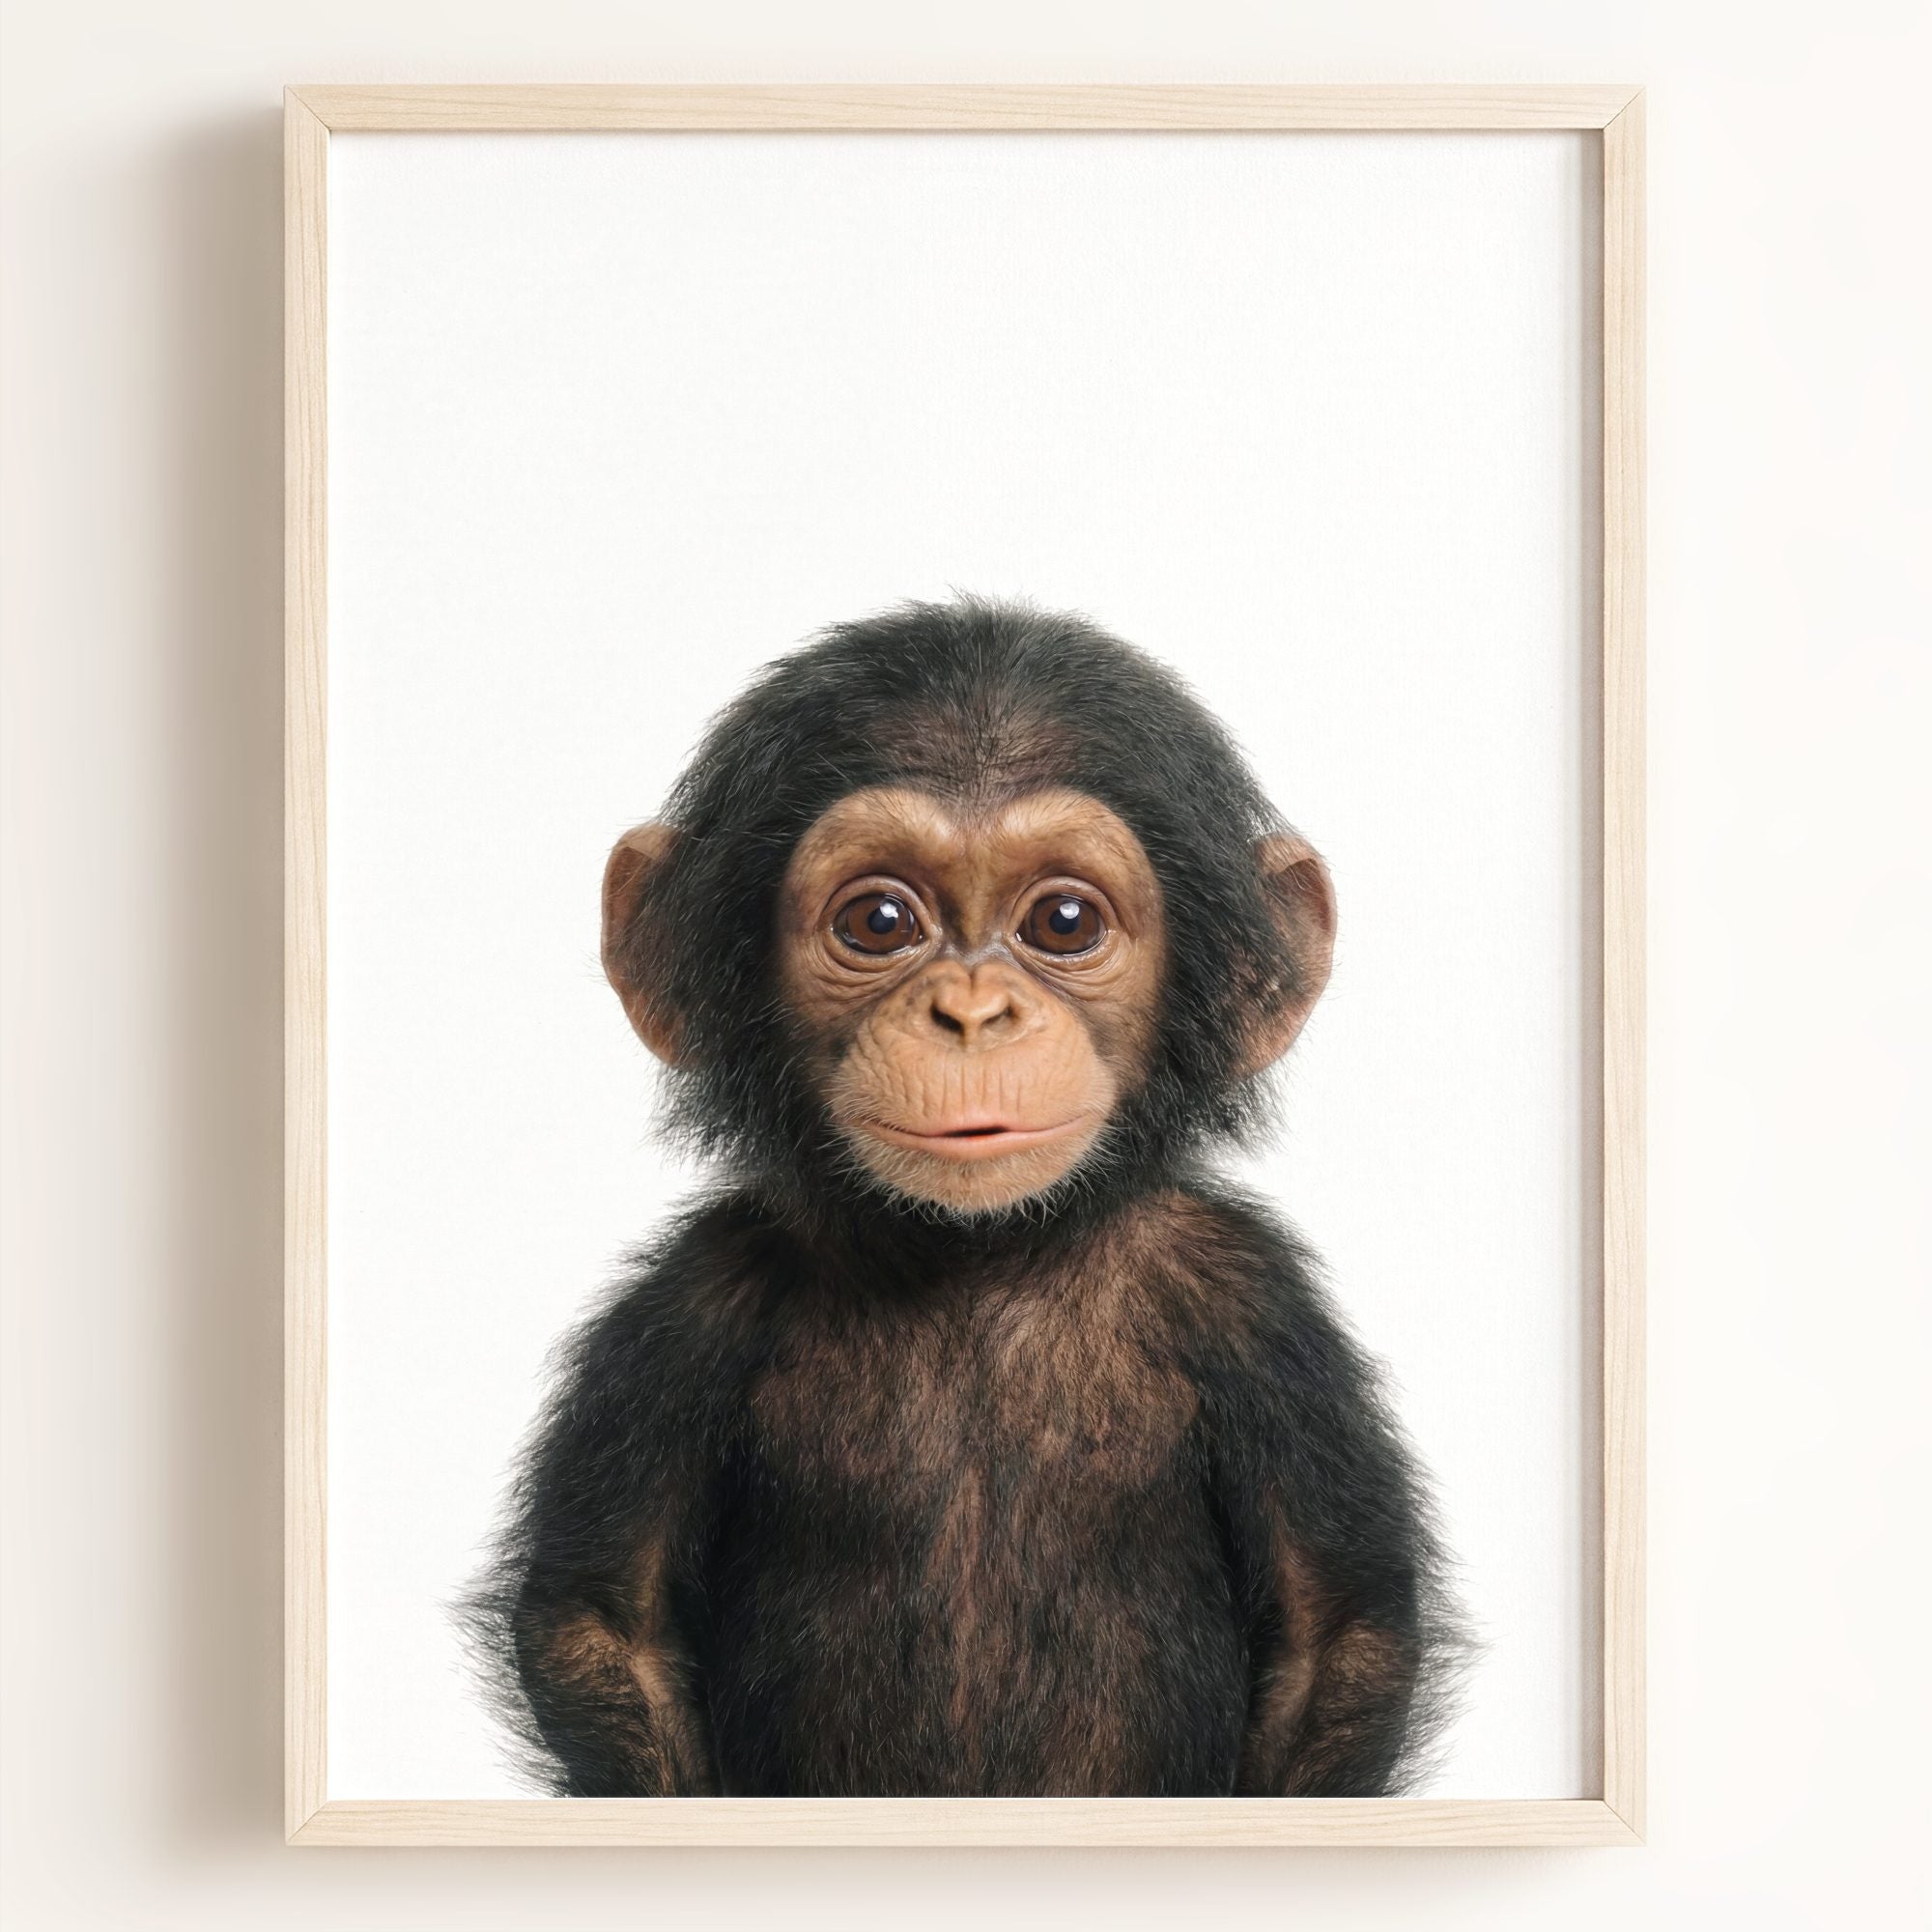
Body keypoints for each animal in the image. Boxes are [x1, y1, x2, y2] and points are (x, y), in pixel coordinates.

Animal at [464, 597, 1466, 1798]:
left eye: (1064, 921)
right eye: (880, 921)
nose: (973, 1012)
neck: (974, 1253)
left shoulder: (1254, 1305)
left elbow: (1335, 1634)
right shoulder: (687, 1308)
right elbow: (605, 1622)